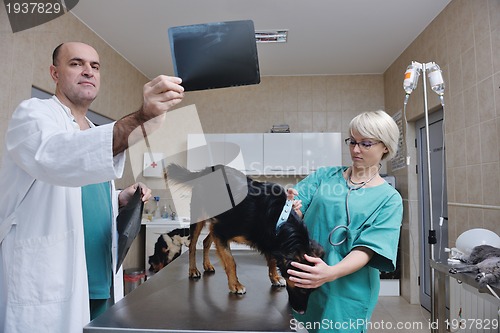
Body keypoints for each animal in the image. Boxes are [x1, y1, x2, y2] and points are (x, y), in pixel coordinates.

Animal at [166, 163, 326, 314]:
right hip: (202, 216)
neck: (278, 218)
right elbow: (231, 262)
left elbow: (272, 260)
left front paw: (274, 277)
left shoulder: (265, 239)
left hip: (217, 220)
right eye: (303, 288)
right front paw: (235, 285)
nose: (301, 311)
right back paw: (193, 270)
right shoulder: (222, 231)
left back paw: (207, 265)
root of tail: (205, 170)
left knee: (205, 242)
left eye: (312, 290)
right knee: (193, 245)